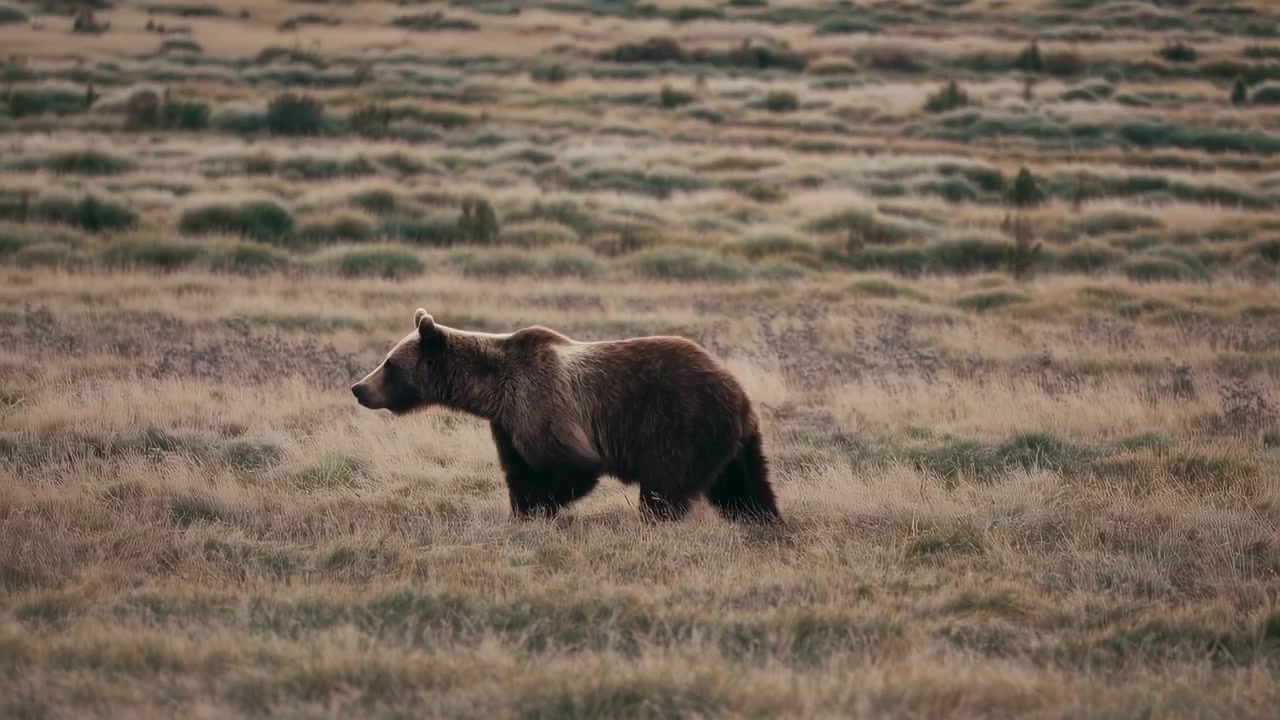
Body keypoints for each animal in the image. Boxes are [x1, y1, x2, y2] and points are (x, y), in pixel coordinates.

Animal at [351, 308, 783, 525]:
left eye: (389, 364)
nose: (358, 387)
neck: (492, 392)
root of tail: (739, 393)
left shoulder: (542, 402)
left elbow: (572, 465)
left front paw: (539, 508)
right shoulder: (508, 424)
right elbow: (520, 470)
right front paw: (522, 511)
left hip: (680, 422)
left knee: (666, 482)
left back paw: (655, 519)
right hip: (734, 442)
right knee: (744, 487)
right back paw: (766, 522)